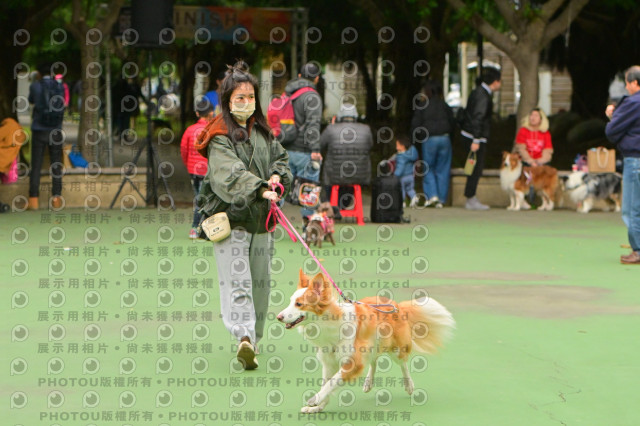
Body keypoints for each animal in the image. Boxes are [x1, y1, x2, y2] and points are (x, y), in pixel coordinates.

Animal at [277, 270, 455, 413]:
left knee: (403, 364)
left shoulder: (351, 362)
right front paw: (318, 407)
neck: (329, 323)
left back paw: (409, 385)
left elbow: (331, 383)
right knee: (374, 361)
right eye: (290, 302)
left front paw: (315, 400)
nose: (278, 317)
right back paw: (368, 383)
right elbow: (326, 383)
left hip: (395, 350)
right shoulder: (329, 361)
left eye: (299, 304)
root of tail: (397, 305)